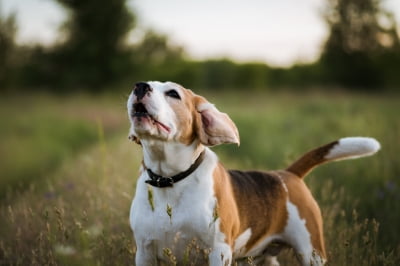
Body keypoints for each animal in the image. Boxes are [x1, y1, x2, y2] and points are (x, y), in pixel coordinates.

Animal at [126, 81, 380, 266]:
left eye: (173, 93)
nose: (139, 86)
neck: (170, 179)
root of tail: (288, 175)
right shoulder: (144, 253)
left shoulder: (218, 252)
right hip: (268, 258)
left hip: (311, 253)